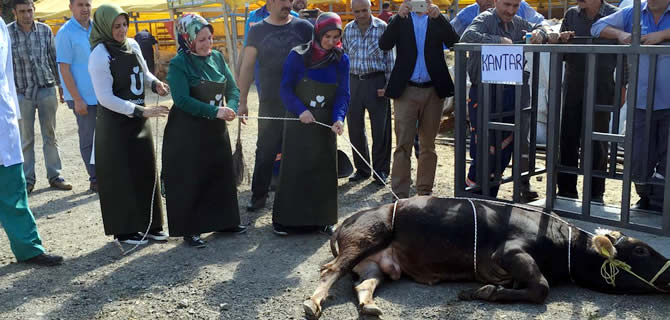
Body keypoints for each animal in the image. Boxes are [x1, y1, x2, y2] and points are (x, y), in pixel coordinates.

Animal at [304, 196, 670, 318]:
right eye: (641, 249)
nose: (669, 272)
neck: (562, 244)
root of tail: (346, 221)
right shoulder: (510, 252)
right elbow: (541, 288)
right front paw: (482, 291)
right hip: (367, 237)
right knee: (330, 270)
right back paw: (313, 302)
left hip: (377, 266)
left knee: (361, 285)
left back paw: (369, 306)